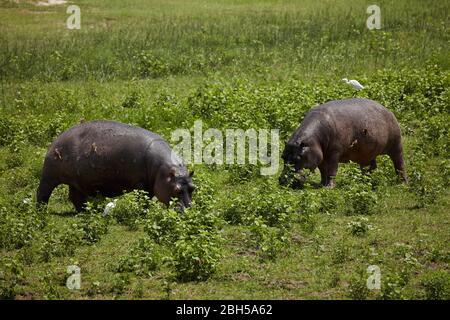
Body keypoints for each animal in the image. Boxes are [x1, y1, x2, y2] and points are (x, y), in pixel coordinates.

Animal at [36, 119, 194, 210]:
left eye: (193, 188)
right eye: (176, 190)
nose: (189, 210)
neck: (163, 170)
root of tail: (56, 140)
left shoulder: (150, 185)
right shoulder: (140, 184)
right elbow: (142, 200)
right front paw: (143, 211)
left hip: (76, 181)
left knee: (75, 197)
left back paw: (85, 211)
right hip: (49, 175)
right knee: (42, 192)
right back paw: (41, 211)